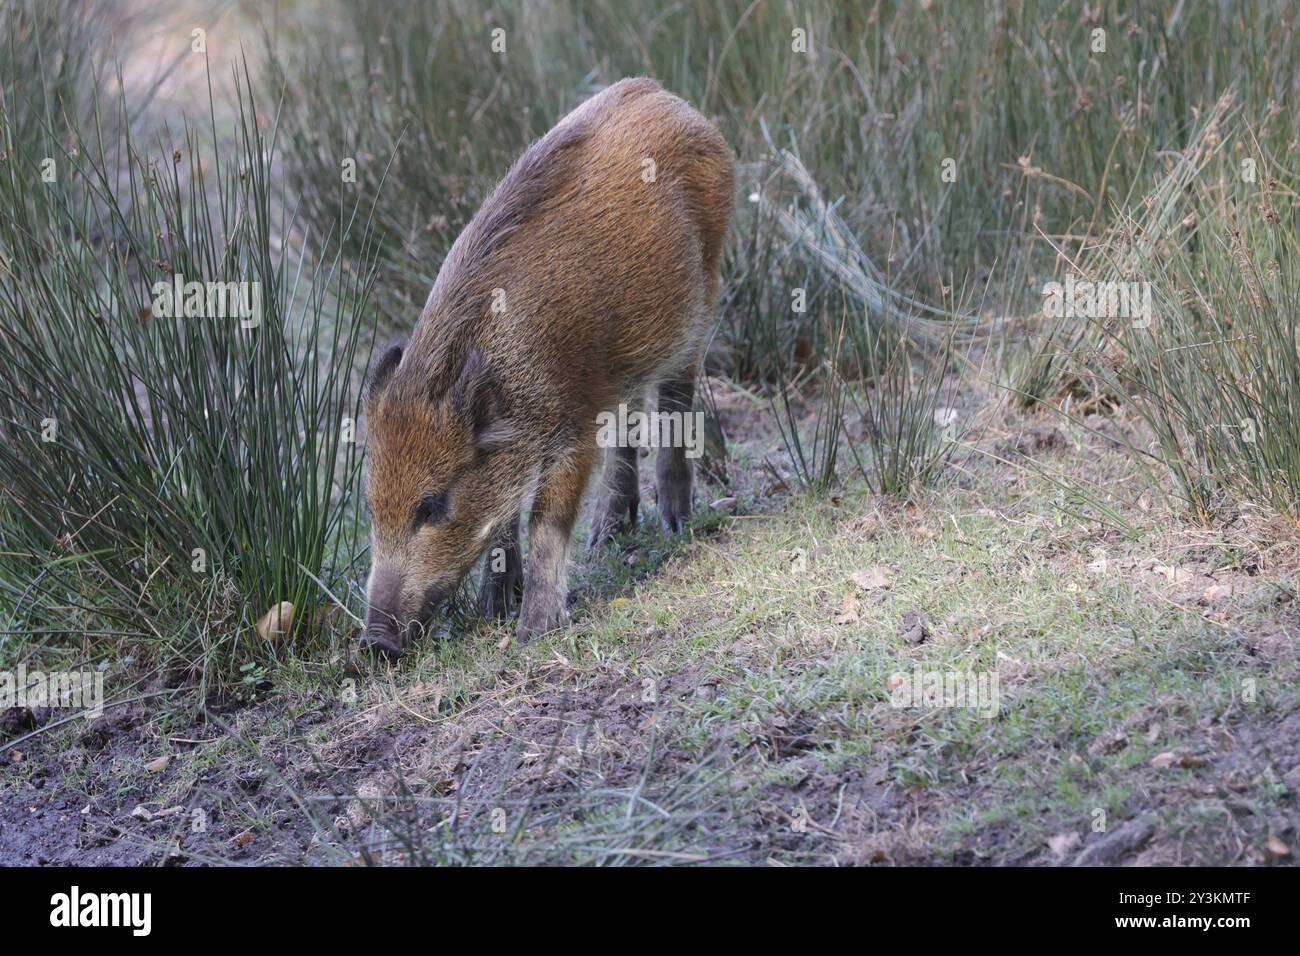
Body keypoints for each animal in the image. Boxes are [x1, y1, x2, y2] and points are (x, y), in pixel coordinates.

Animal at [360, 77, 734, 654]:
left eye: (432, 505)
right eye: (371, 505)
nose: (378, 642)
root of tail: (663, 94)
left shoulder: (572, 426)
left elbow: (545, 520)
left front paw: (534, 629)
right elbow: (503, 517)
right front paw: (494, 608)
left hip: (701, 299)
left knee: (674, 395)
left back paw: (675, 522)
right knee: (628, 417)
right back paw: (608, 534)